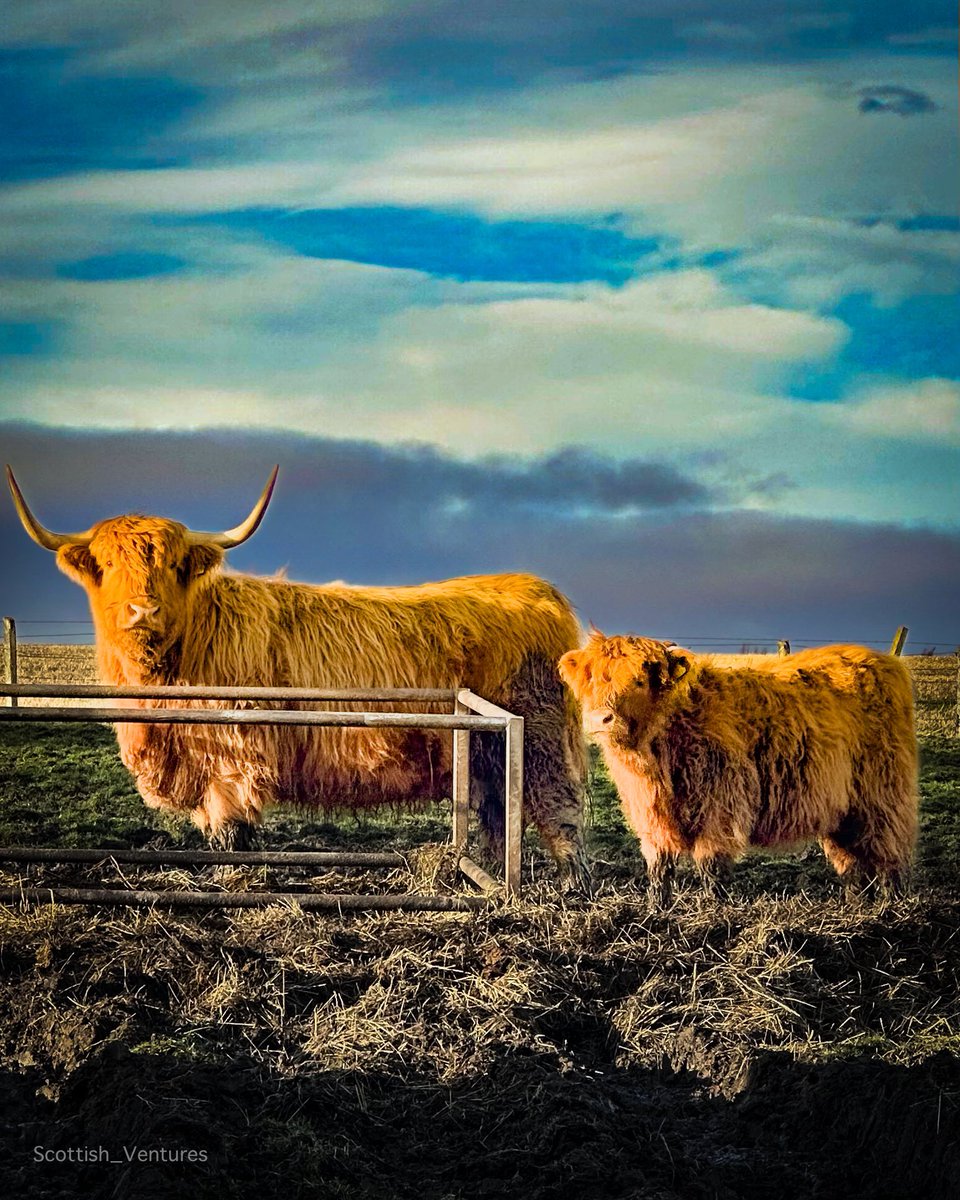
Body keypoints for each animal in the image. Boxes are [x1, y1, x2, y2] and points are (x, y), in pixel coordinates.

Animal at [559, 638, 916, 902]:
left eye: (638, 680)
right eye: (591, 679)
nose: (600, 718)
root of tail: (882, 661)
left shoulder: (720, 809)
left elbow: (711, 865)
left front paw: (714, 910)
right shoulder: (651, 815)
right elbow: (659, 868)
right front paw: (657, 910)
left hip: (881, 795)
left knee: (887, 852)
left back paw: (889, 905)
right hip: (842, 808)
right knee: (852, 860)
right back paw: (857, 904)